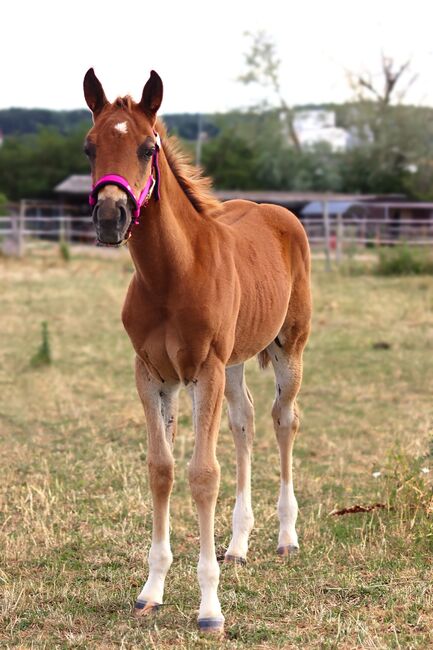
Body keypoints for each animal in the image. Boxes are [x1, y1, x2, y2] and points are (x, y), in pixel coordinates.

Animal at [82, 68, 310, 632]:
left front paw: (210, 608)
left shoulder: (203, 369)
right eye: (89, 147)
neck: (172, 275)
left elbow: (203, 475)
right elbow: (161, 469)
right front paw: (151, 590)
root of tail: (277, 213)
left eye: (147, 147)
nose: (110, 218)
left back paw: (286, 537)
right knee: (244, 421)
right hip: (233, 363)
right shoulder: (151, 374)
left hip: (289, 347)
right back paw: (239, 544)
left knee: (283, 420)